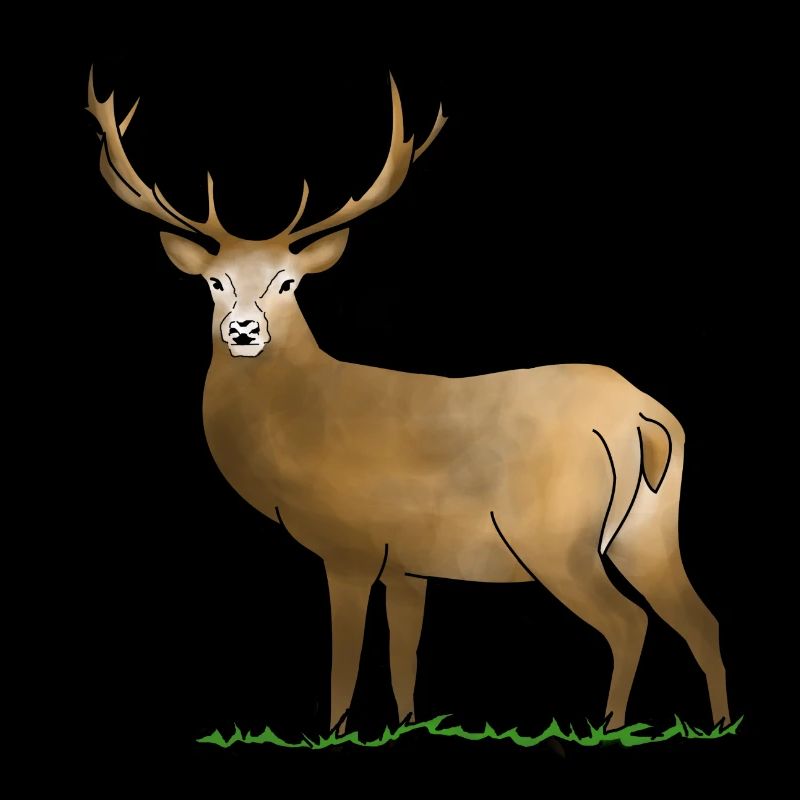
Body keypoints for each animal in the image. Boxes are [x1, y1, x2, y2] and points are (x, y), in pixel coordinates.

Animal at [87, 67, 729, 733]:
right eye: (214, 282)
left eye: (288, 283)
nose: (243, 329)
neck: (299, 427)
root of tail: (643, 415)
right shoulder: (409, 563)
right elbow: (405, 658)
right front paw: (407, 725)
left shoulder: (349, 544)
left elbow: (346, 659)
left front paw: (334, 731)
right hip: (648, 526)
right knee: (701, 619)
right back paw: (717, 722)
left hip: (556, 536)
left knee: (629, 623)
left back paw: (610, 726)